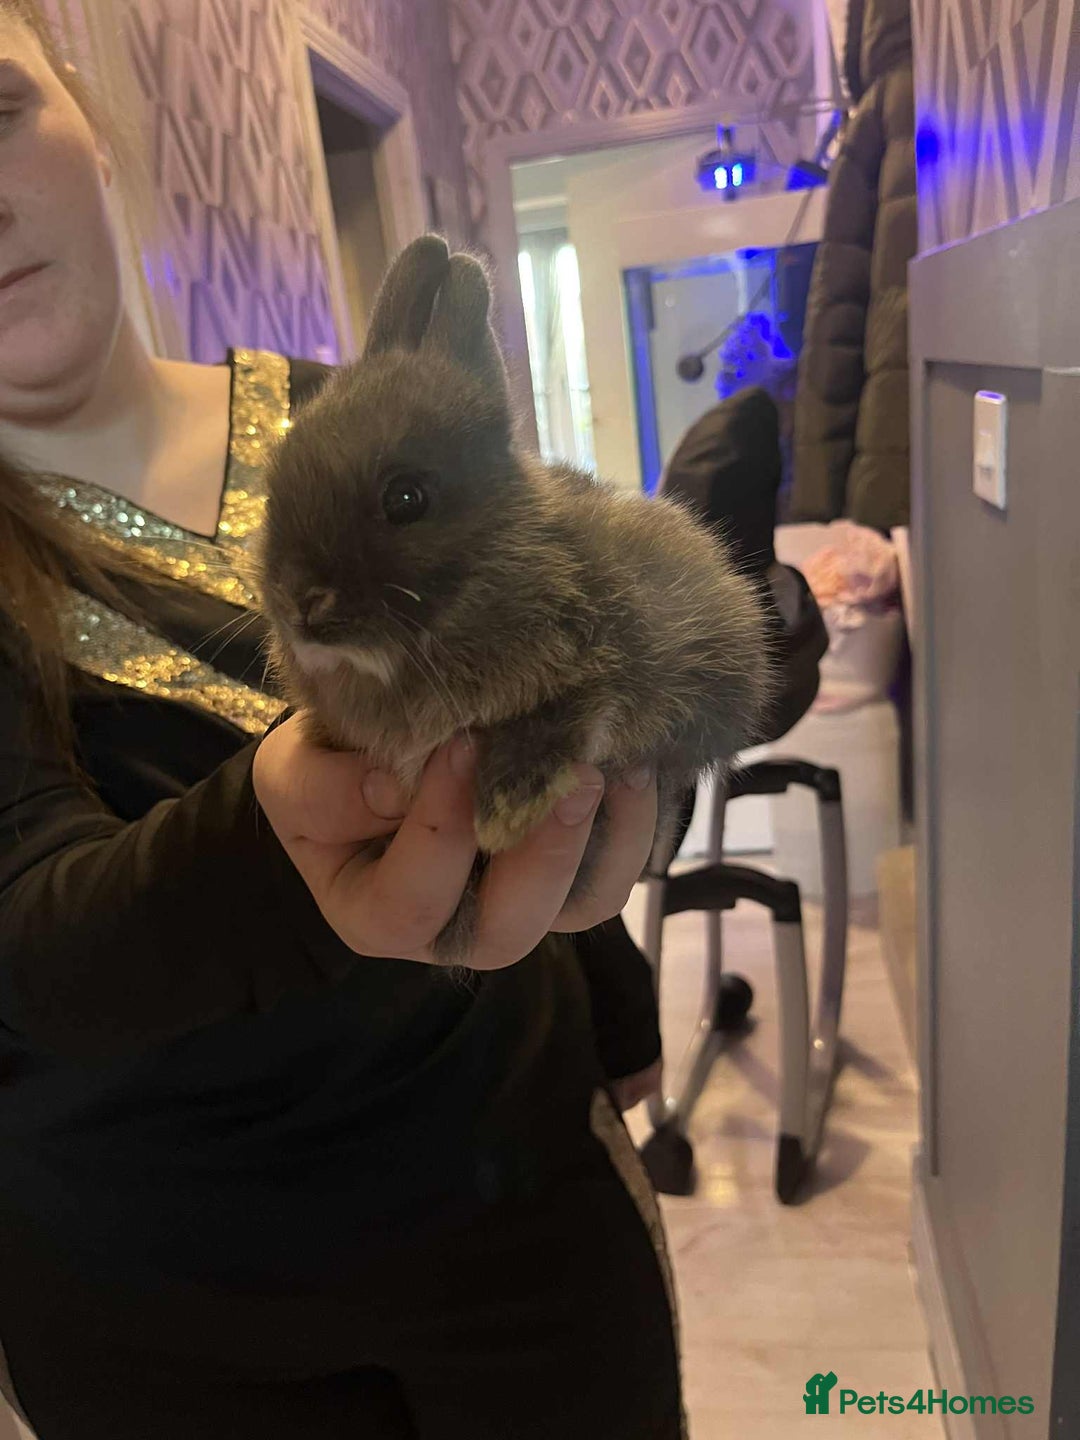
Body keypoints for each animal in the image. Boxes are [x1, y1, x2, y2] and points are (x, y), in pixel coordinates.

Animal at [255, 234, 777, 967]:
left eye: (406, 498)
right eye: (273, 485)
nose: (301, 604)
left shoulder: (613, 658)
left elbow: (573, 712)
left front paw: (506, 811)